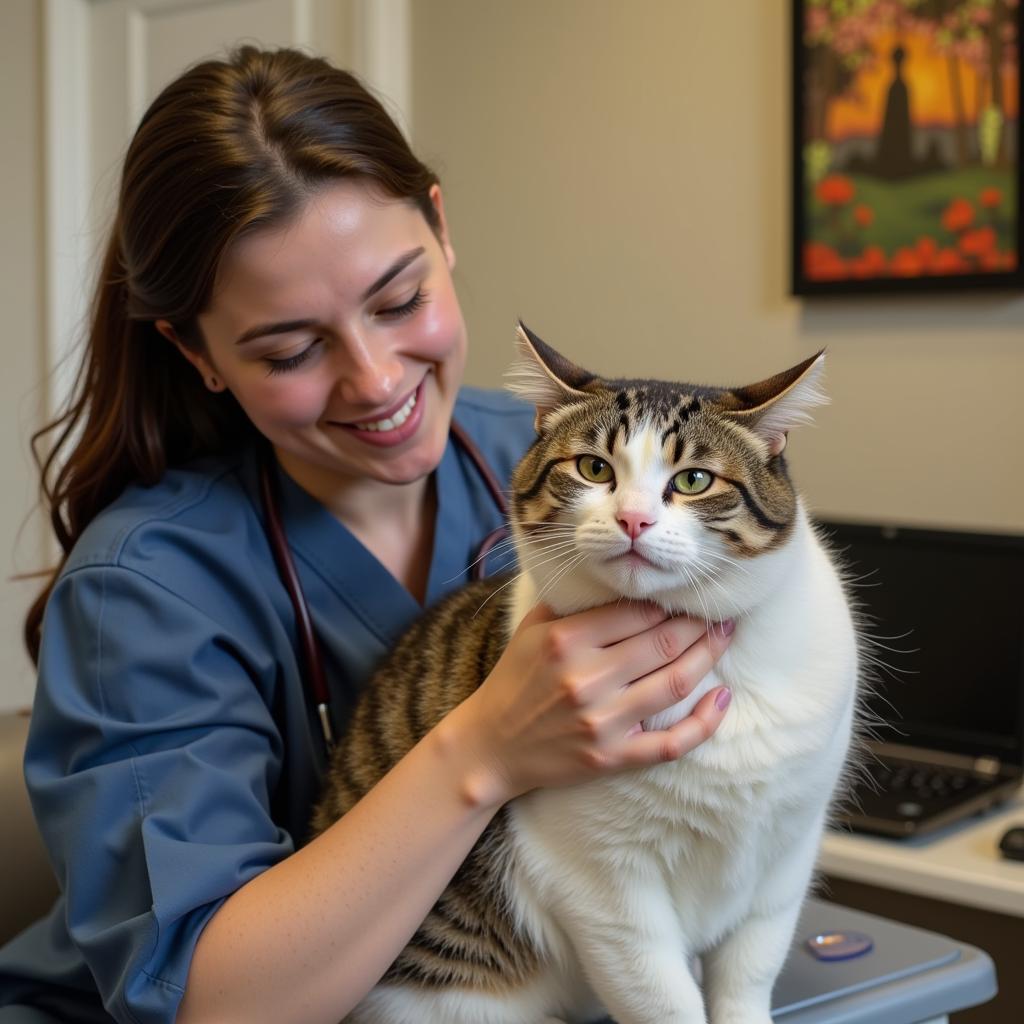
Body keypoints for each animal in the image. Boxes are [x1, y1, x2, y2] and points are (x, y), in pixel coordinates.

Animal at [311, 321, 856, 1024]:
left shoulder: (785, 857)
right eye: (594, 469)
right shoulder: (597, 877)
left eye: (694, 479)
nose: (634, 518)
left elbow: (747, 975)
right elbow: (661, 997)